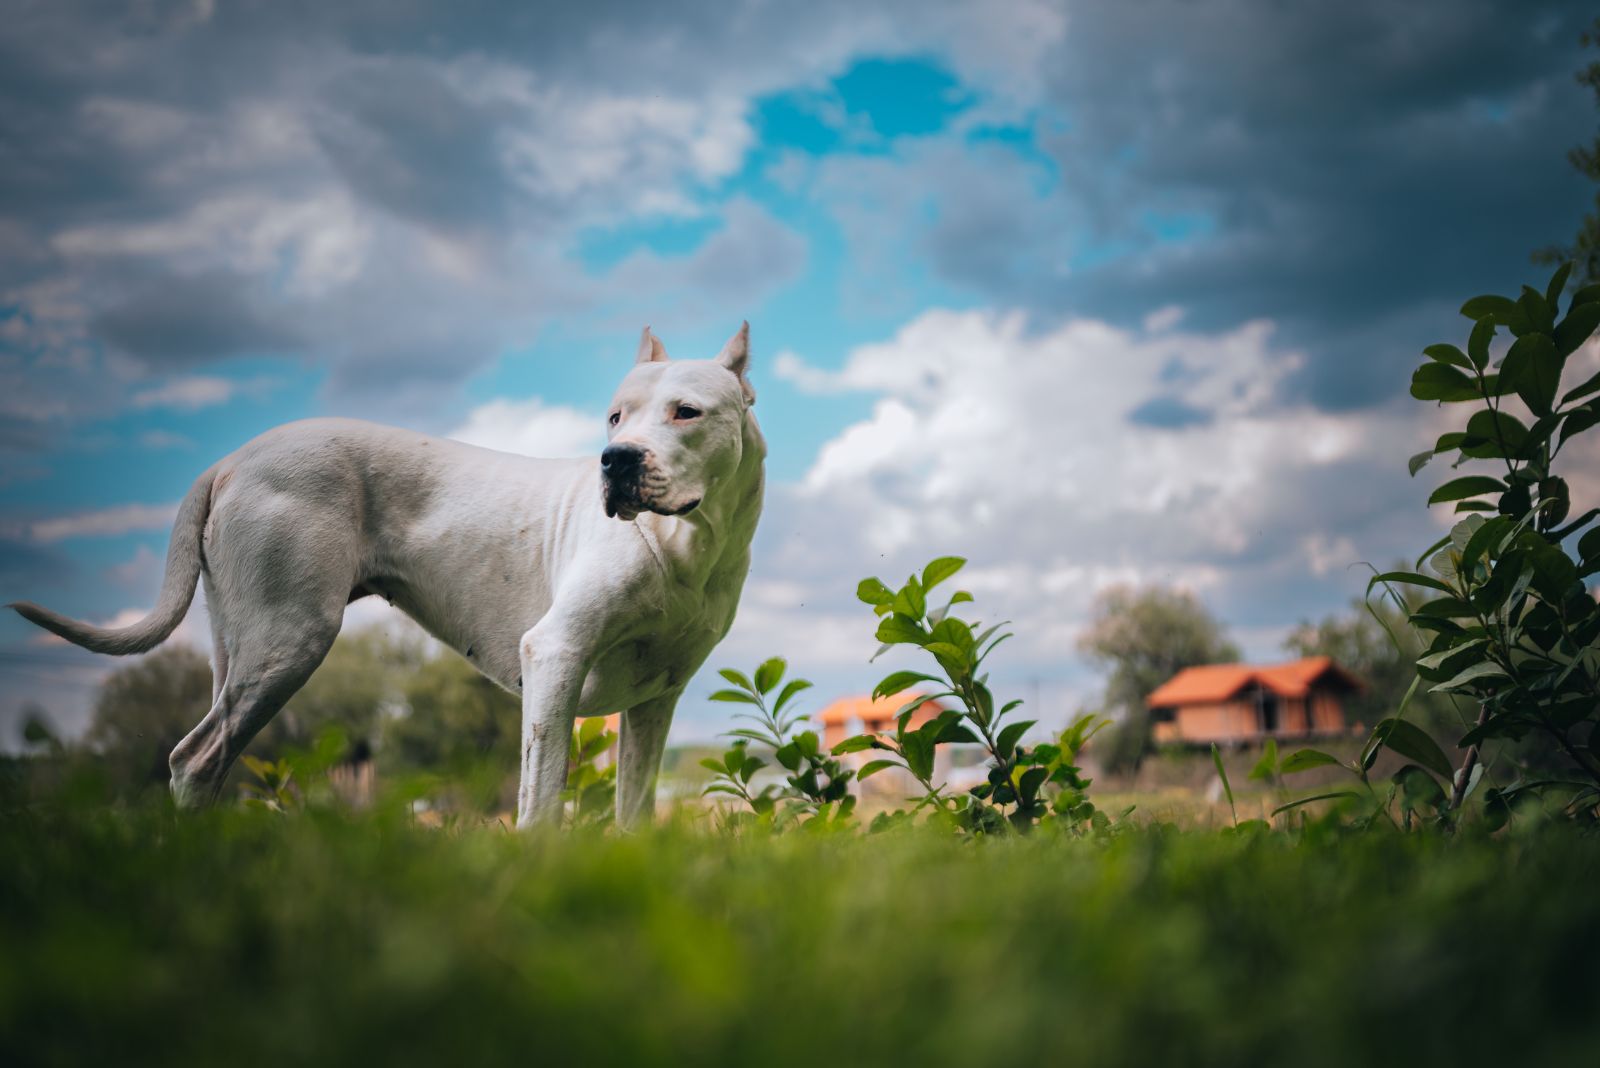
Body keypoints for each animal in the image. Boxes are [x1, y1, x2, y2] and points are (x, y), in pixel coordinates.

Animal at [9, 322, 761, 824]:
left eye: (686, 412)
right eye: (614, 417)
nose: (617, 458)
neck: (687, 542)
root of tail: (231, 460)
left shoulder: (654, 703)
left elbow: (635, 812)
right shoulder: (556, 657)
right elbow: (540, 800)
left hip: (242, 647)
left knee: (205, 758)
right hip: (290, 640)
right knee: (196, 758)